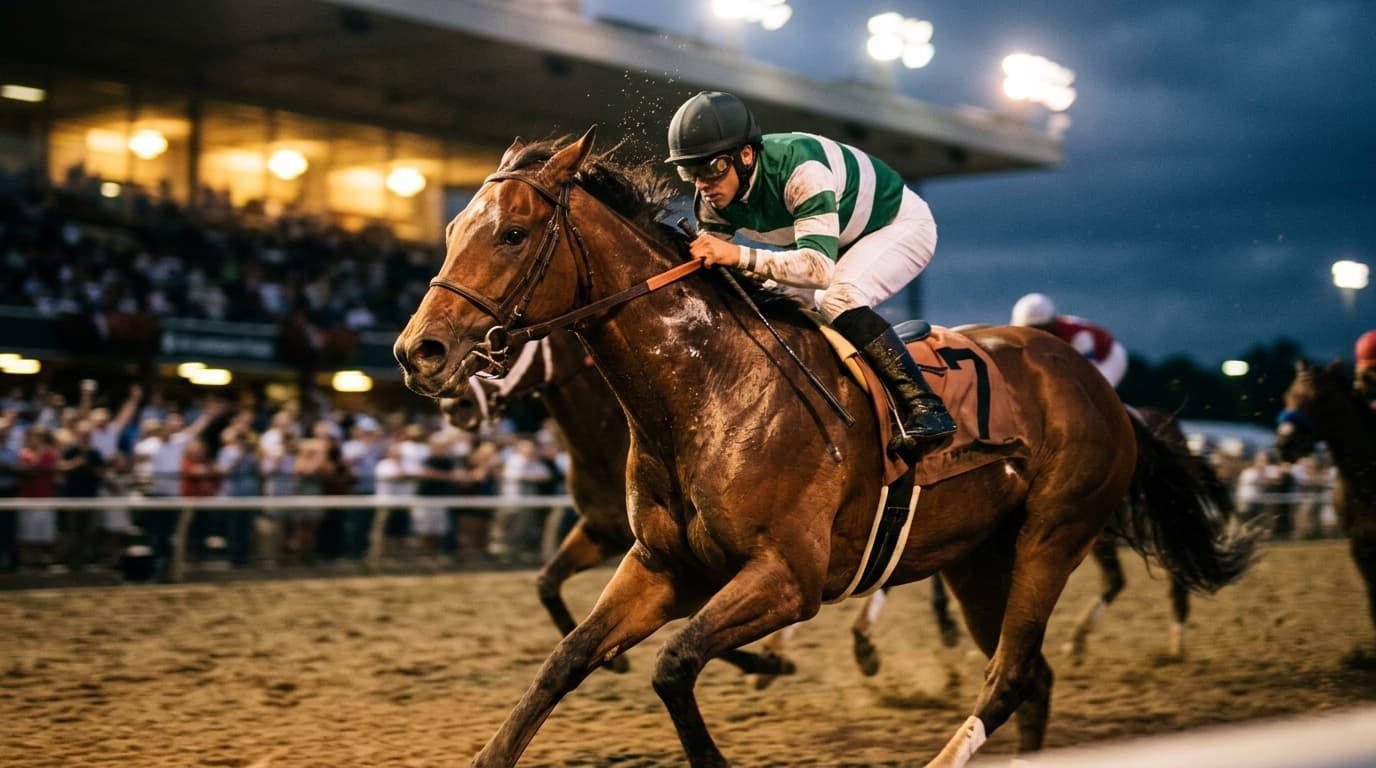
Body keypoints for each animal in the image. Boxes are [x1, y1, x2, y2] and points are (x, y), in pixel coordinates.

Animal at [393, 128, 1255, 768]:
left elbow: (675, 667)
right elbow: (564, 659)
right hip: (979, 556)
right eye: (451, 230)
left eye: (512, 233)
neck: (705, 392)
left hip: (1053, 534)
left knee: (1011, 674)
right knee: (1031, 679)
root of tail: (1101, 388)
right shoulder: (661, 564)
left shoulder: (788, 576)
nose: (418, 353)